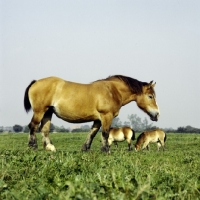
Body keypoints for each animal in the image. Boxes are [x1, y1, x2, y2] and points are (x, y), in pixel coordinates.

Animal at [24, 74, 160, 152]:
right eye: (150, 96)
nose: (157, 114)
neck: (112, 91)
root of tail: (35, 82)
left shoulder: (98, 119)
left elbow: (92, 133)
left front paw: (85, 148)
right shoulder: (106, 116)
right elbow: (105, 133)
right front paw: (106, 150)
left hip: (48, 112)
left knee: (44, 129)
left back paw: (49, 147)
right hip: (40, 111)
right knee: (33, 126)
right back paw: (33, 146)